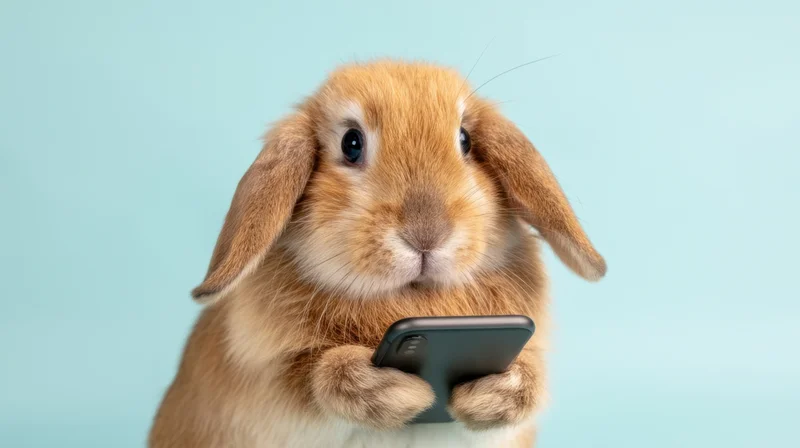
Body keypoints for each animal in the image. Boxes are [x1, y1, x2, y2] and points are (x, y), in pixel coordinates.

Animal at [148, 60, 606, 448]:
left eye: (465, 140)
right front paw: (394, 393)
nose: (427, 233)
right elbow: (315, 379)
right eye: (351, 143)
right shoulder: (268, 386)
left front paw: (497, 392)